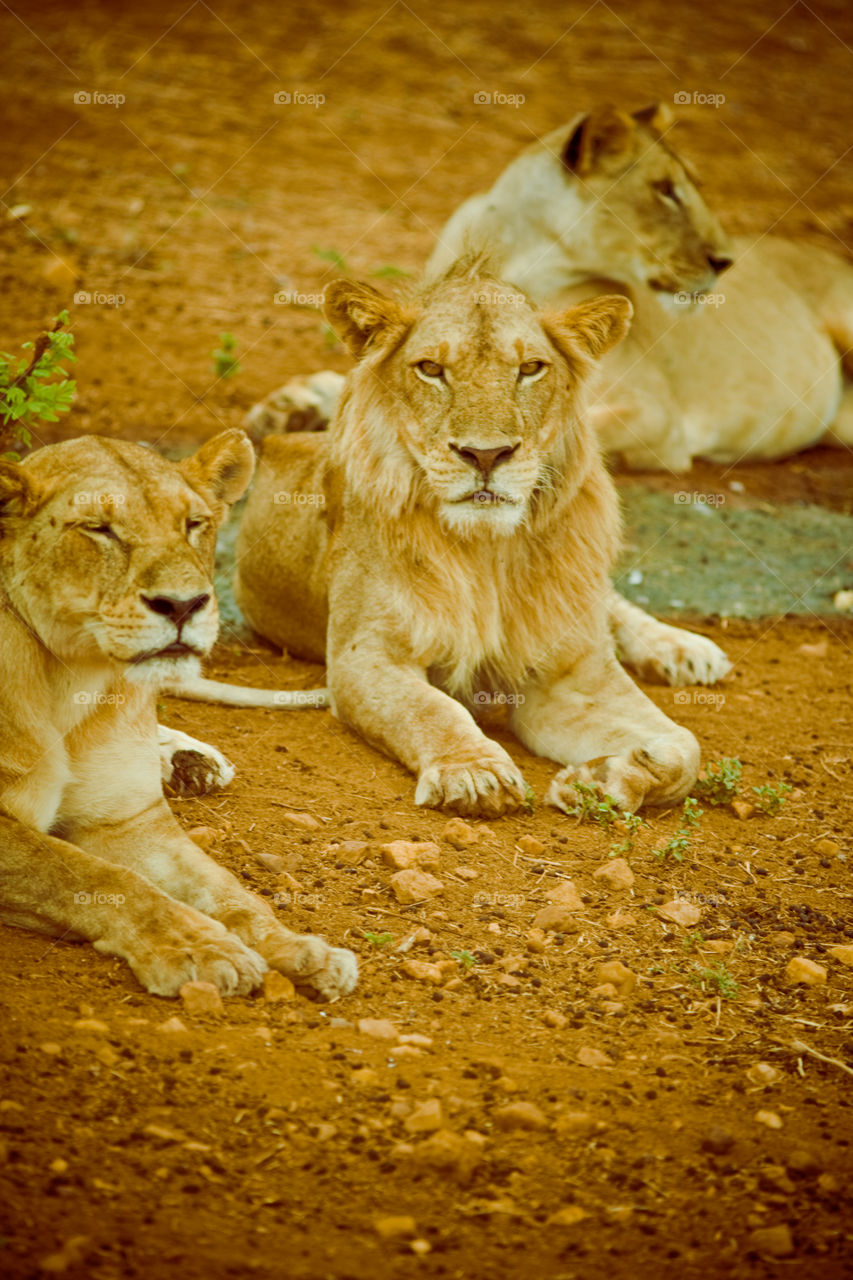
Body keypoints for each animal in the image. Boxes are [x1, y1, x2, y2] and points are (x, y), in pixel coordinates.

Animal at [0, 430, 356, 999]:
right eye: (99, 529)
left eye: (193, 524)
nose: (184, 605)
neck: (73, 676)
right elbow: (90, 877)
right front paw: (199, 949)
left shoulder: (128, 820)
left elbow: (230, 892)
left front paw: (302, 950)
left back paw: (192, 761)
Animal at [233, 261, 701, 817]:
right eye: (431, 369)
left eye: (530, 368)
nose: (486, 455)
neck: (488, 549)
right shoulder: (364, 657)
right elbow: (433, 710)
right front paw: (475, 774)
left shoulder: (572, 675)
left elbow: (685, 748)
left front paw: (605, 776)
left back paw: (683, 649)